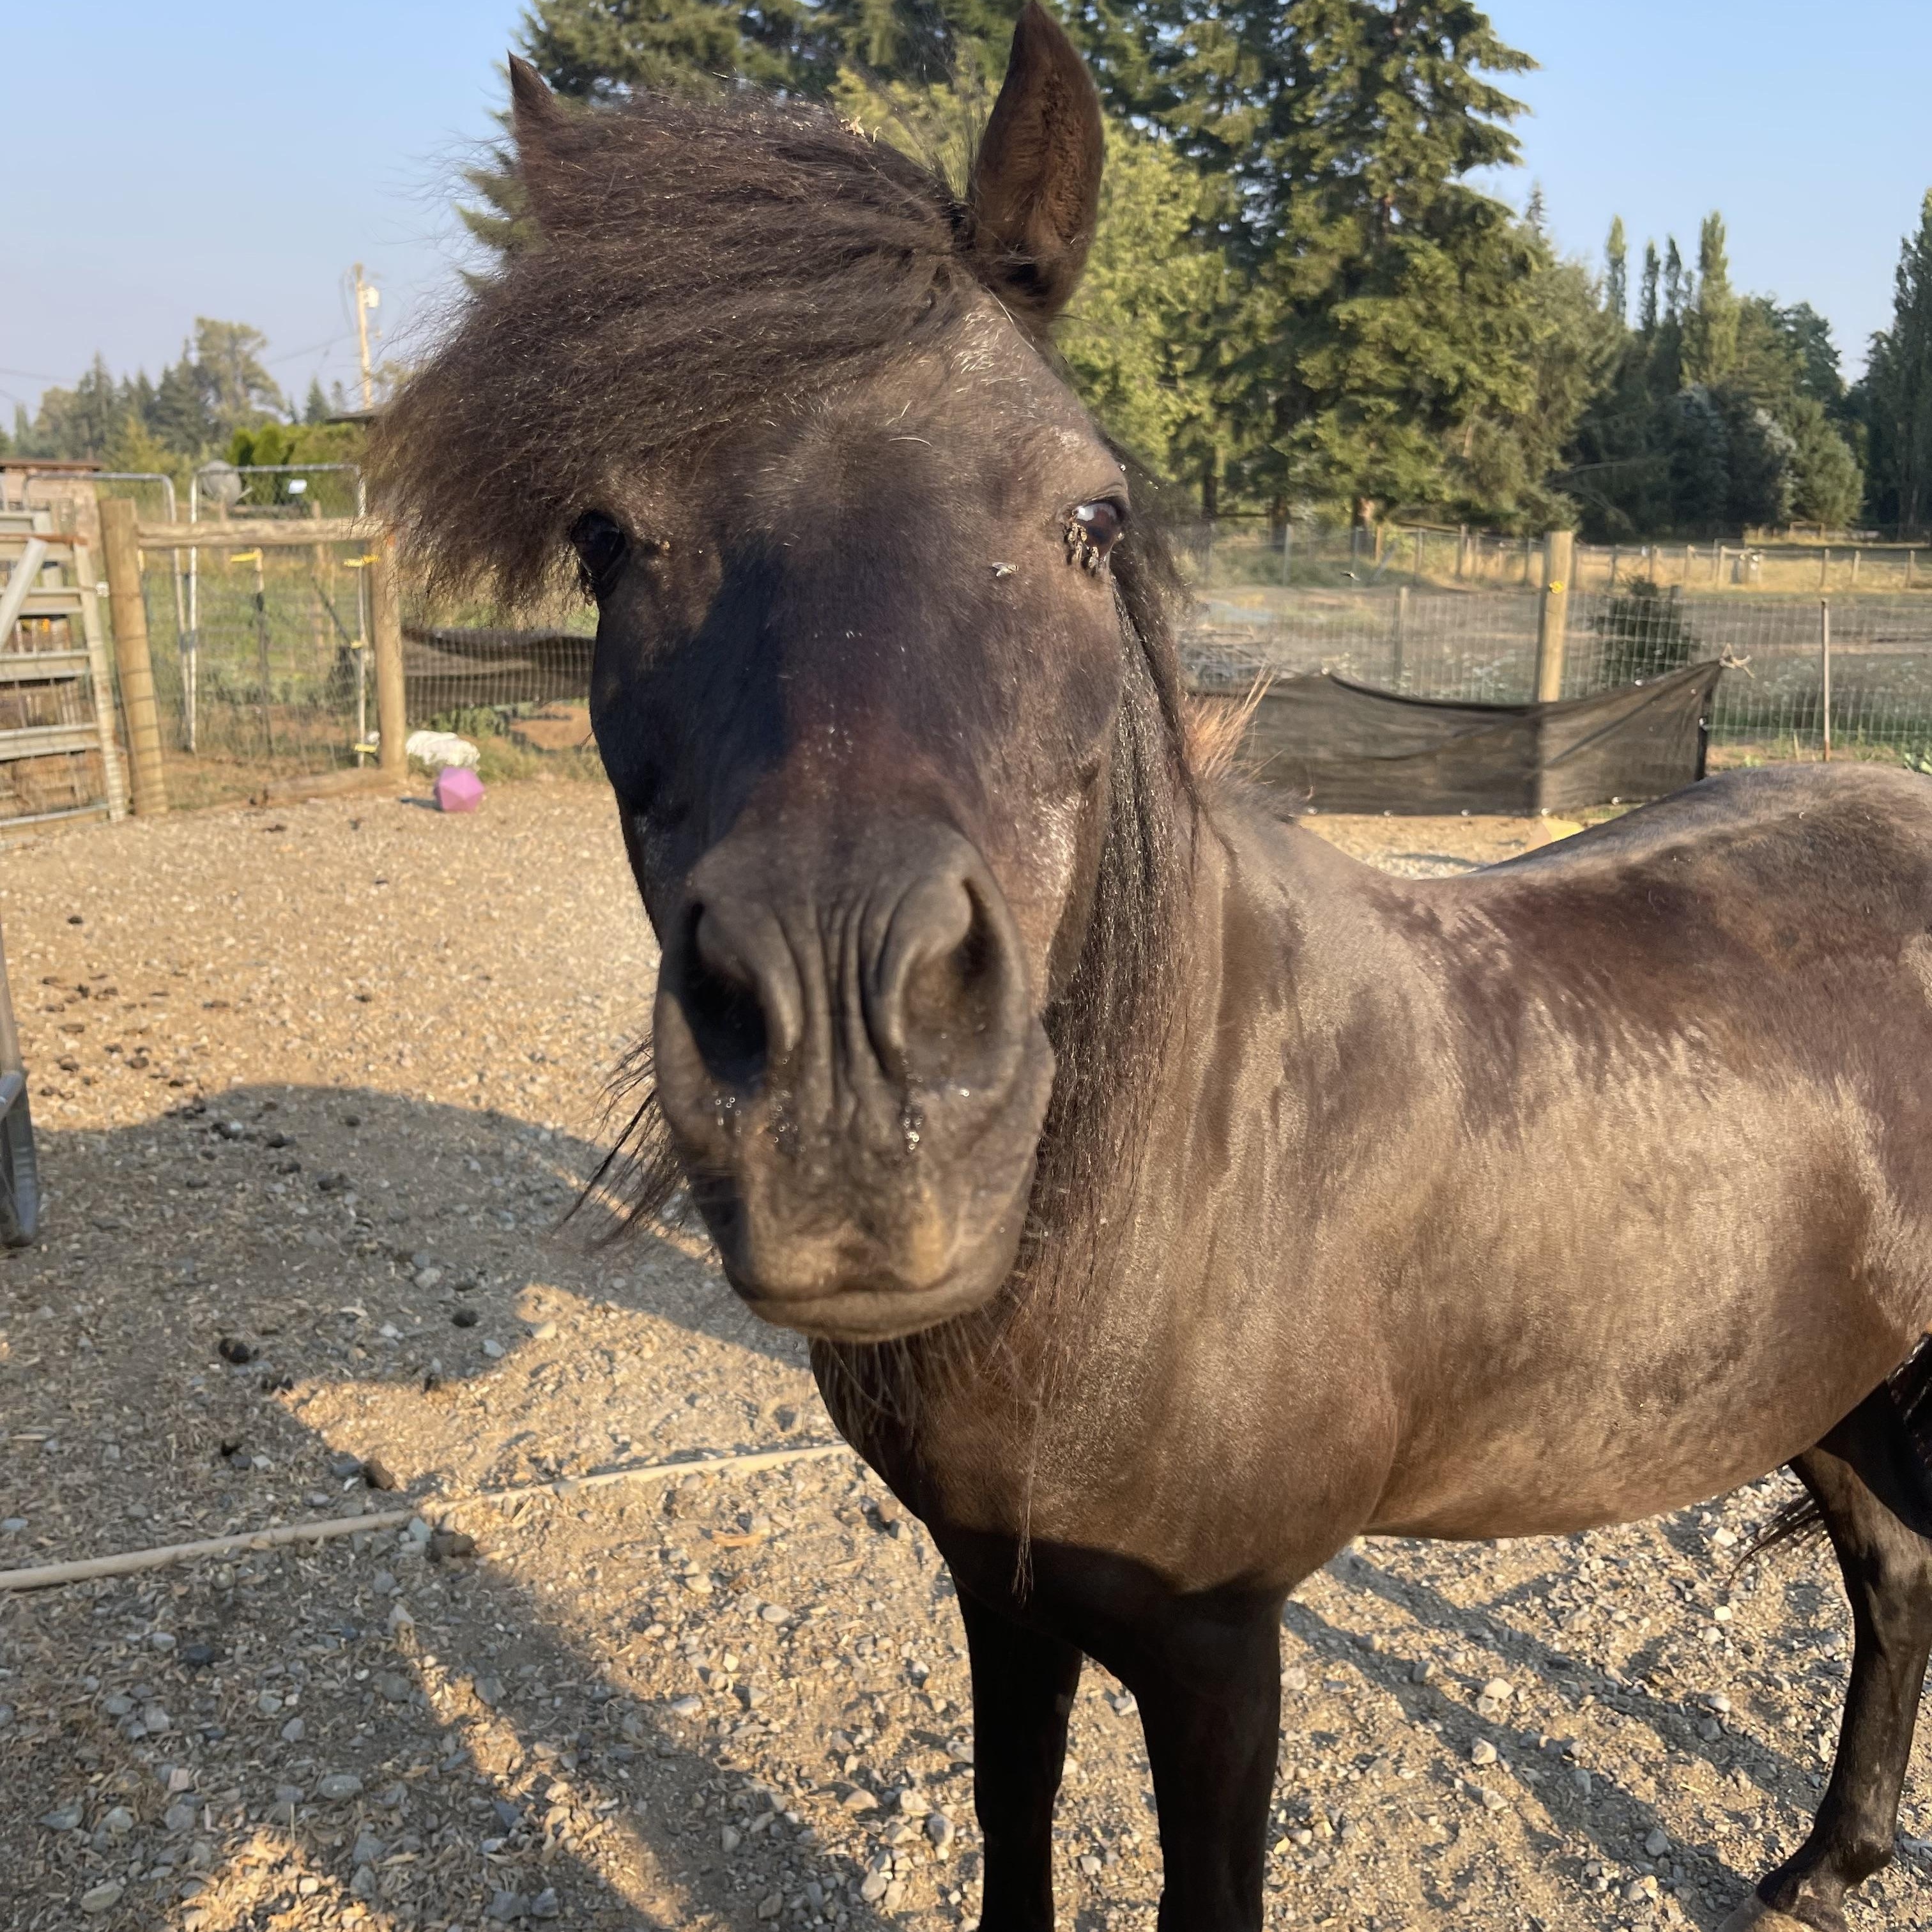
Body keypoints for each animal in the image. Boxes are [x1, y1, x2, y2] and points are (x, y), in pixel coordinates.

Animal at [373, 13, 1932, 1927]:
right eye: (607, 539)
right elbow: (1013, 1827)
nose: (846, 1089)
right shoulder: (1002, 1595)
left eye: (1089, 518)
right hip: (1834, 1381)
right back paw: (1832, 1856)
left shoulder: (1214, 1648)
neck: (1165, 1190)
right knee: (1896, 1573)